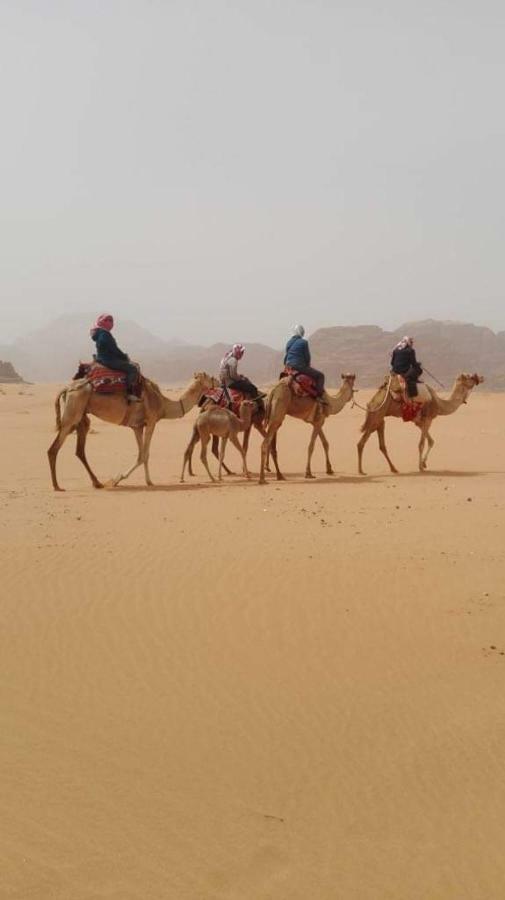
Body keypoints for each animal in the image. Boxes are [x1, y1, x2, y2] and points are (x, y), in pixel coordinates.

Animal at [47, 370, 219, 492]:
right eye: (209, 376)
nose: (218, 381)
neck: (164, 404)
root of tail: (67, 388)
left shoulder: (137, 426)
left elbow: (141, 454)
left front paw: (147, 481)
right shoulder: (151, 421)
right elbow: (144, 454)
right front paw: (118, 479)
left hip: (81, 416)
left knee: (79, 450)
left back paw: (97, 483)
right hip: (73, 412)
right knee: (54, 448)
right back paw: (57, 486)